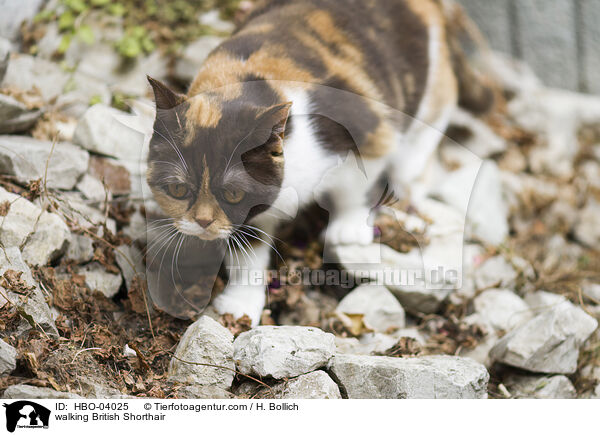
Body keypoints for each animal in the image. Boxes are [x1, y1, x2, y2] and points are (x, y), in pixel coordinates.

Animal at [145, 0, 492, 326]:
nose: (203, 222)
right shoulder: (250, 214)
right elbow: (248, 252)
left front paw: (348, 229)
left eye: (232, 193)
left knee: (414, 163)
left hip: (429, 105)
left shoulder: (370, 131)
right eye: (178, 189)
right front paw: (239, 305)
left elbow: (353, 186)